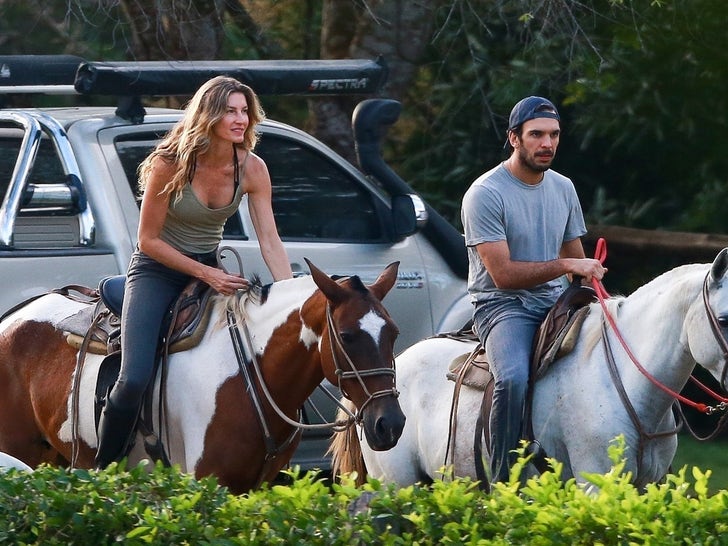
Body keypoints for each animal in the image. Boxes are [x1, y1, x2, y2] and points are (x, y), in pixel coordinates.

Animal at [0, 260, 404, 492]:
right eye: (347, 336)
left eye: (394, 333)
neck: (250, 375)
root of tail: (10, 319)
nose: (390, 424)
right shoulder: (208, 482)